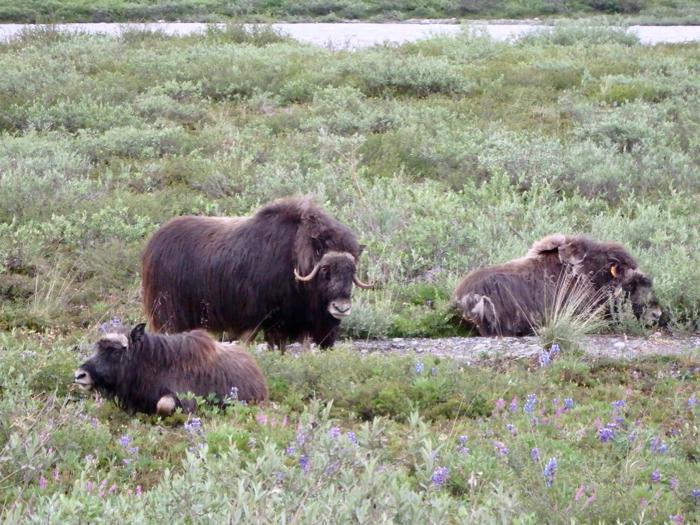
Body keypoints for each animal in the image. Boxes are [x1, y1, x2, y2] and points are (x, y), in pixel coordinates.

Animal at [142, 195, 372, 348]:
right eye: (325, 269)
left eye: (352, 270)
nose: (341, 308)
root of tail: (153, 243)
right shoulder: (272, 320)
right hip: (169, 312)